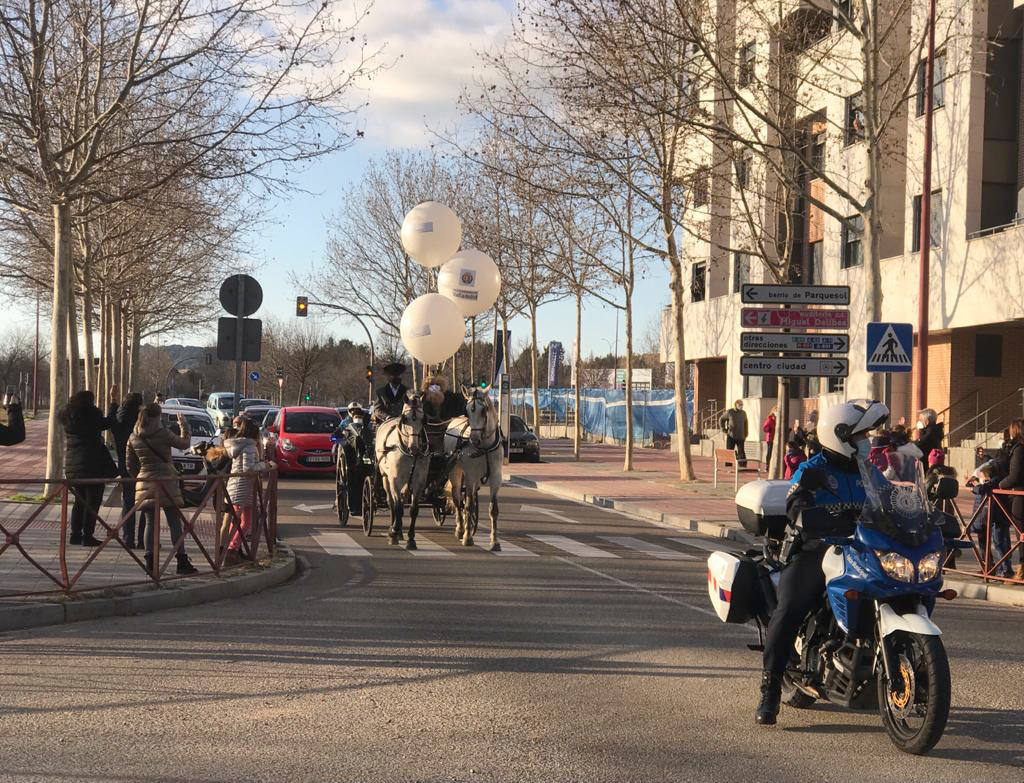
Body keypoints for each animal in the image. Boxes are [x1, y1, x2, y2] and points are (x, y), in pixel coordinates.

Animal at [372, 390, 428, 548]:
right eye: (405, 419)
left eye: (423, 419)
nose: (415, 448)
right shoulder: (395, 480)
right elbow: (397, 507)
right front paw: (393, 532)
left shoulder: (419, 482)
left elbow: (414, 509)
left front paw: (411, 539)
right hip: (386, 478)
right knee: (392, 503)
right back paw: (394, 529)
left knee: (402, 501)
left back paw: (400, 532)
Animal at [442, 386, 501, 548]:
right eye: (467, 411)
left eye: (484, 410)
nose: (474, 440)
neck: (485, 447)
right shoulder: (470, 477)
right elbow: (467, 505)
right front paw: (467, 537)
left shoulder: (496, 477)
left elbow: (493, 509)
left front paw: (495, 541)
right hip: (456, 473)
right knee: (457, 498)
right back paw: (460, 529)